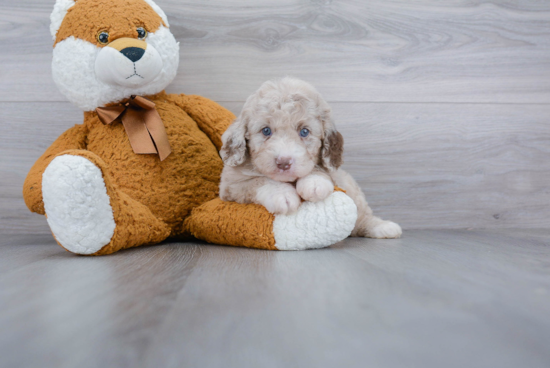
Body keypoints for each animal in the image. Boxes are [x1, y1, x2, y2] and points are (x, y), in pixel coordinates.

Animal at [220, 77, 406, 239]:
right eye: (266, 130)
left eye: (304, 132)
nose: (284, 162)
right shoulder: (230, 186)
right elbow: (257, 181)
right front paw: (282, 194)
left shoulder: (332, 170)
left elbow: (320, 170)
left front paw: (315, 183)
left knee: (362, 216)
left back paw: (383, 227)